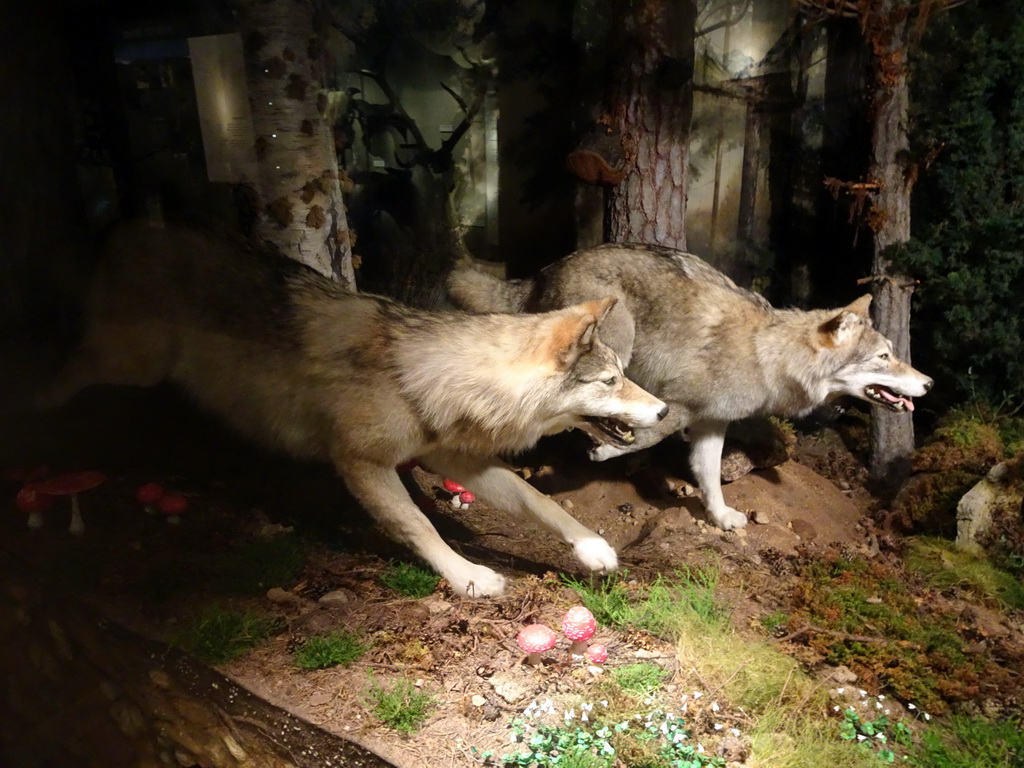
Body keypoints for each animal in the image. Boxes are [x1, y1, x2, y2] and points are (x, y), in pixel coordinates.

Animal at [37, 222, 671, 593]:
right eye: (612, 380)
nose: (665, 412)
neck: (424, 377)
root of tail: (132, 223)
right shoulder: (361, 464)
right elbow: (418, 523)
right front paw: (467, 577)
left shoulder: (454, 461)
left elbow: (538, 500)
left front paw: (591, 548)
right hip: (131, 363)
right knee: (60, 377)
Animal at [448, 243, 937, 532]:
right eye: (884, 357)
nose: (930, 382)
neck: (769, 356)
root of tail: (542, 272)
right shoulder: (680, 405)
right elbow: (654, 431)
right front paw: (609, 450)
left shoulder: (711, 424)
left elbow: (710, 477)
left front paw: (720, 517)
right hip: (620, 343)